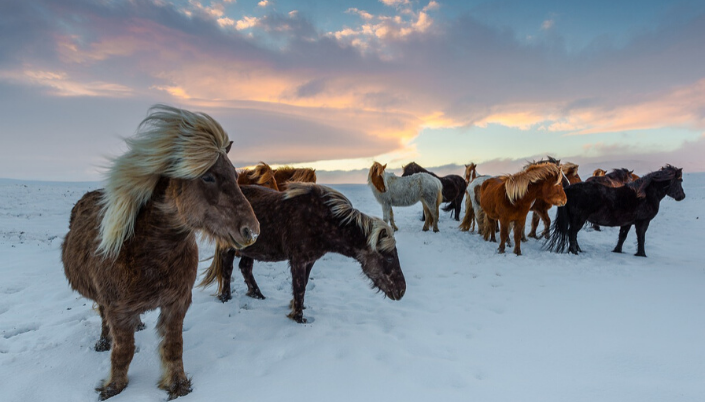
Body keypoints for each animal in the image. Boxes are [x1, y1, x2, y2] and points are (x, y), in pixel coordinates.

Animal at [60, 103, 258, 398]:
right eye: (208, 176)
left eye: (236, 176)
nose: (252, 231)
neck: (150, 253)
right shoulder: (118, 310)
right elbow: (124, 351)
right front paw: (113, 387)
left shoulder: (177, 303)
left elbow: (173, 346)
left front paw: (177, 385)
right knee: (104, 318)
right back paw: (103, 342)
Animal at [199, 182, 408, 324]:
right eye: (389, 257)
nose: (401, 291)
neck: (321, 220)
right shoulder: (298, 260)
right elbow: (299, 286)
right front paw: (298, 317)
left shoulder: (309, 261)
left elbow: (303, 284)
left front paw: (295, 306)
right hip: (229, 249)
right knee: (227, 270)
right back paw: (226, 298)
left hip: (250, 249)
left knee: (245, 268)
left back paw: (257, 295)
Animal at [540, 164, 684, 256]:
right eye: (680, 180)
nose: (682, 196)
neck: (644, 195)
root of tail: (568, 189)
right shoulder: (643, 222)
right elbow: (641, 237)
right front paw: (642, 254)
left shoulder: (627, 223)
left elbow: (622, 237)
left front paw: (617, 250)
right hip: (579, 220)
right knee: (572, 233)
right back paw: (574, 252)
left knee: (573, 234)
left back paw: (578, 250)